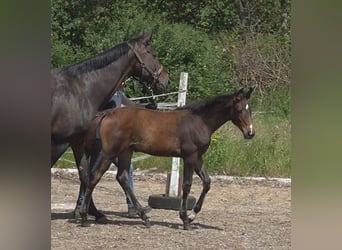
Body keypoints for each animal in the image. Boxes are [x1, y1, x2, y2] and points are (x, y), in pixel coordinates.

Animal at [50, 31, 170, 221]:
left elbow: (85, 175)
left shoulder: (77, 142)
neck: (78, 91)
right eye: (154, 54)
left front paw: (91, 212)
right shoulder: (59, 142)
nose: (166, 80)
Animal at [81, 87, 254, 229]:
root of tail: (106, 114)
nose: (250, 133)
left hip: (125, 152)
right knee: (95, 176)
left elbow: (207, 182)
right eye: (239, 109)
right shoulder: (189, 156)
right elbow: (187, 185)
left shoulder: (197, 157)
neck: (199, 121)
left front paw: (192, 216)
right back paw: (84, 218)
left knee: (122, 178)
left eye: (250, 109)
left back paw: (144, 217)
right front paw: (185, 219)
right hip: (109, 153)